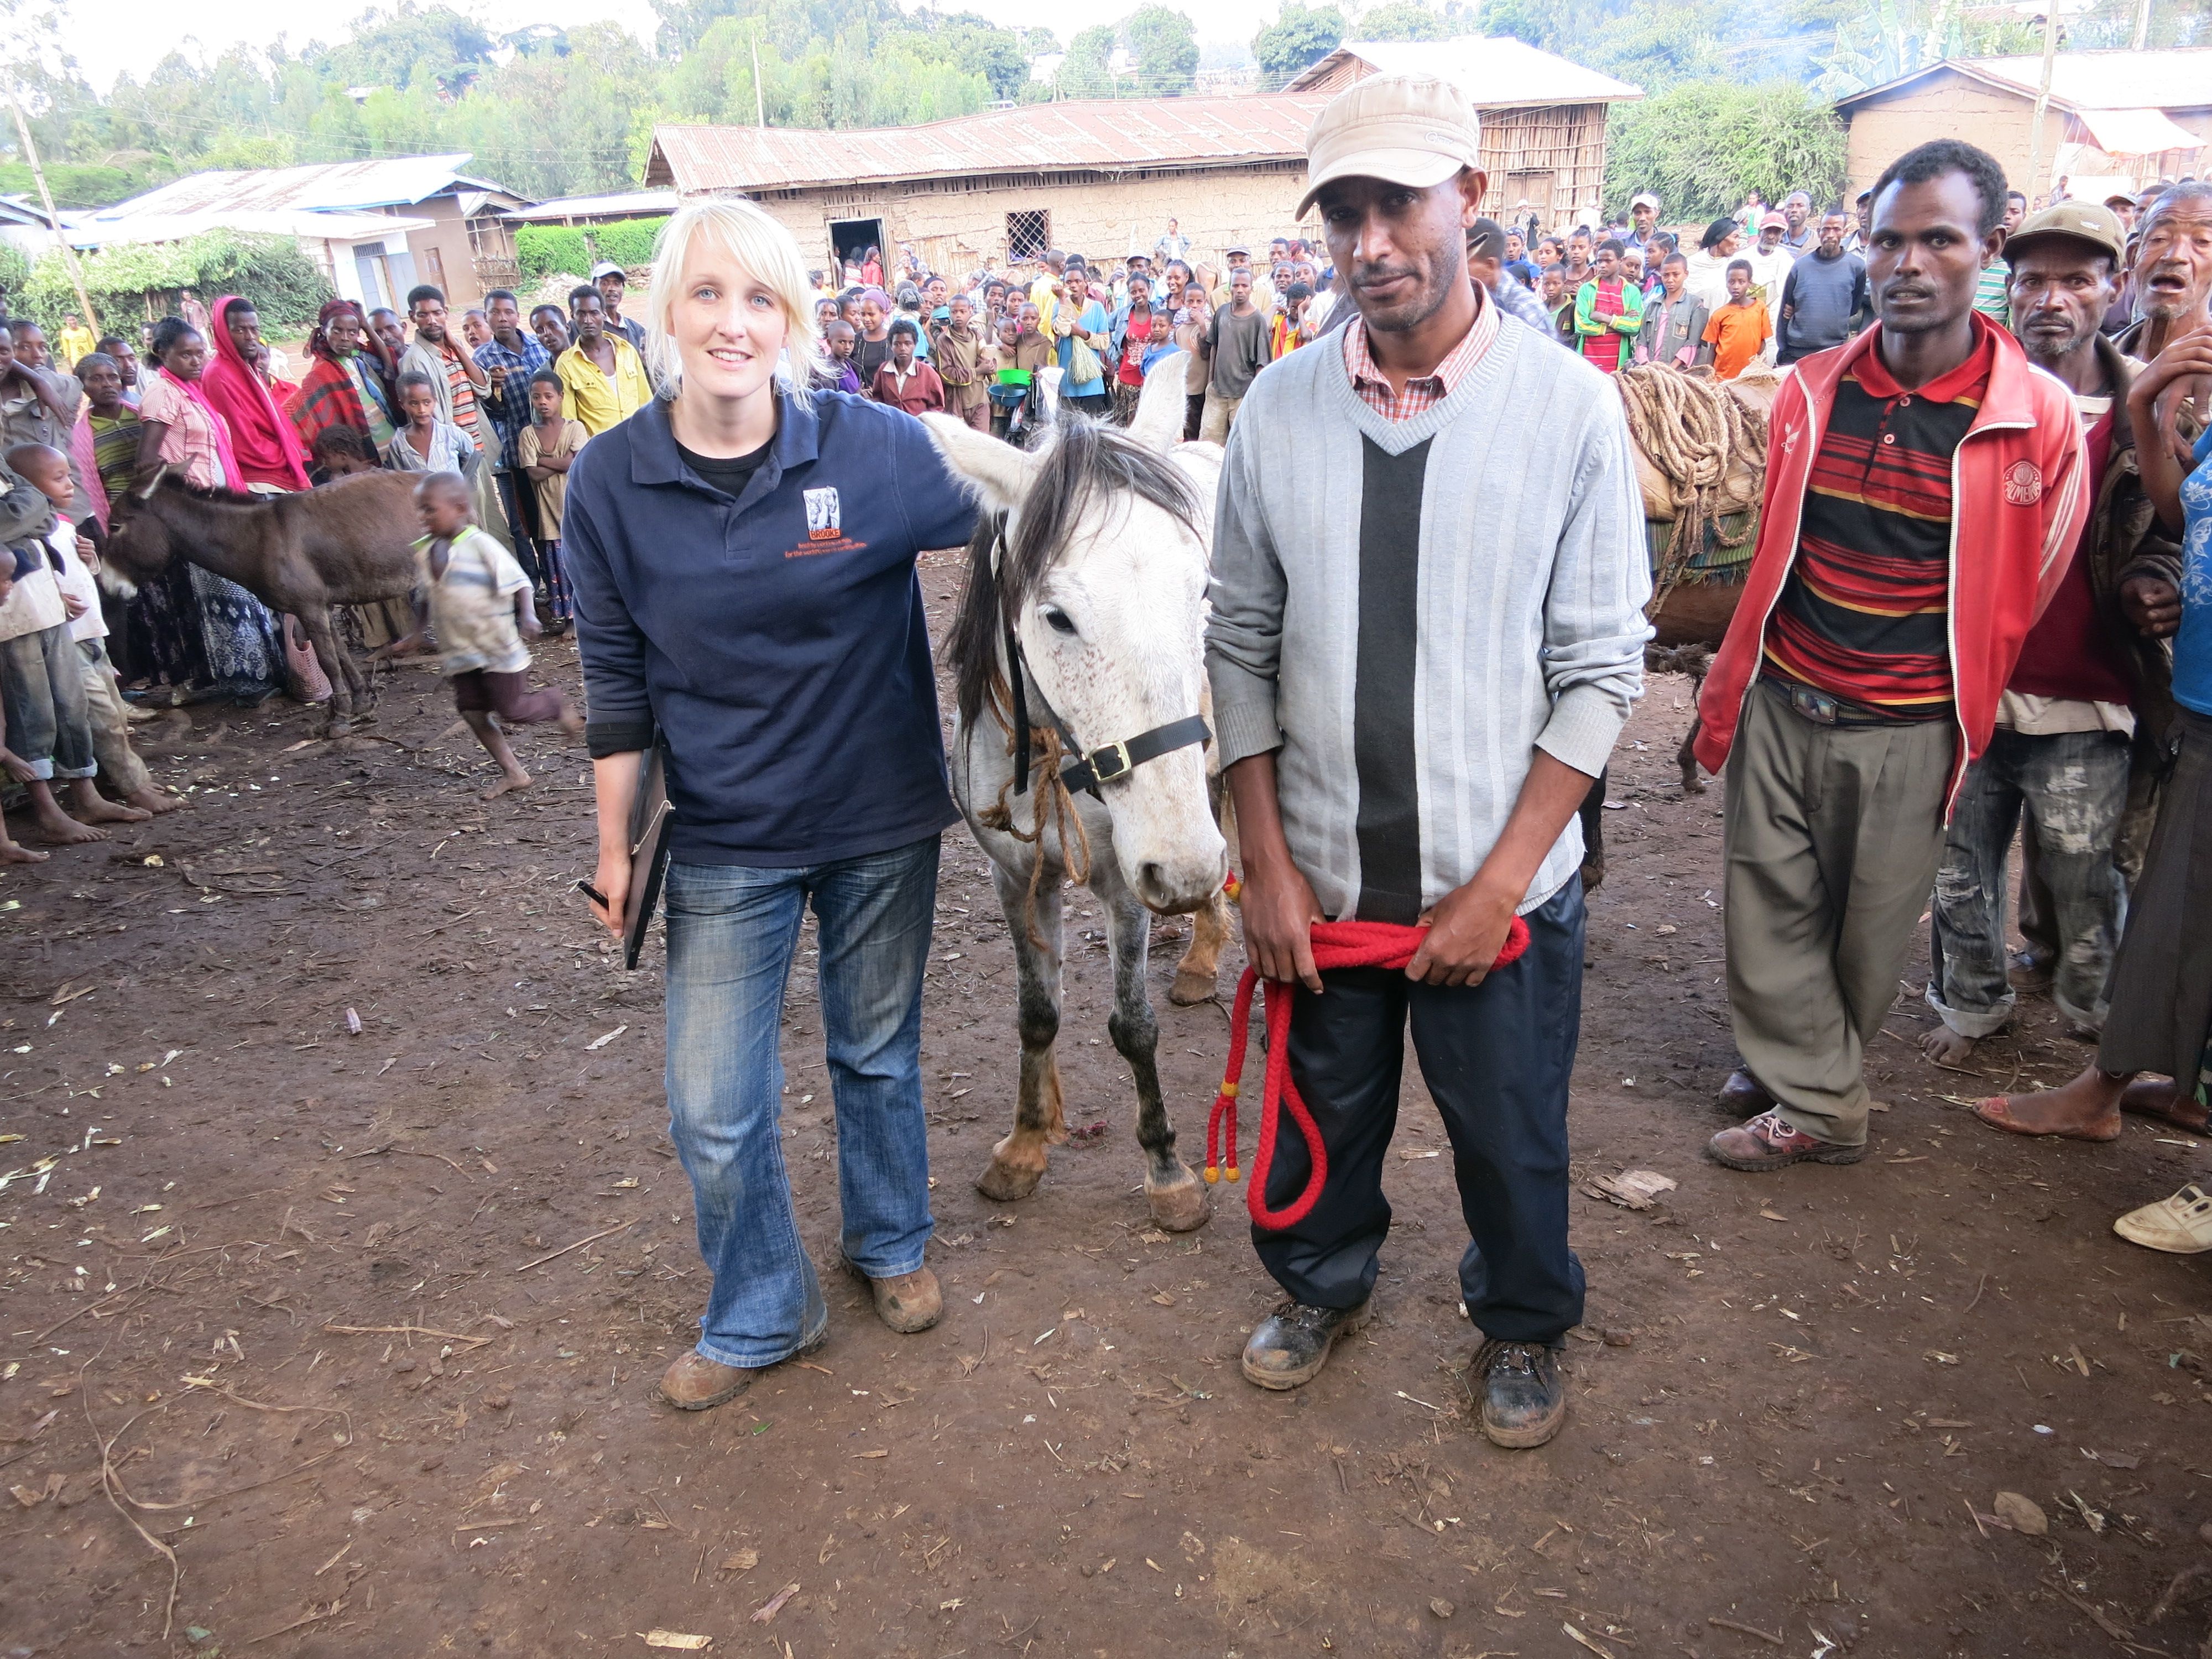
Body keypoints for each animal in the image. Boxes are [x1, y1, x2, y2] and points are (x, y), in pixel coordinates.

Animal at [916, 358, 1230, 1239]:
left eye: (1201, 591)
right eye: (1056, 615)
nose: (1181, 869)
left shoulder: (1129, 883)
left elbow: (1132, 1026)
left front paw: (1166, 1169)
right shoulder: (1016, 877)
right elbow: (1037, 1013)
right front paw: (1025, 1145)